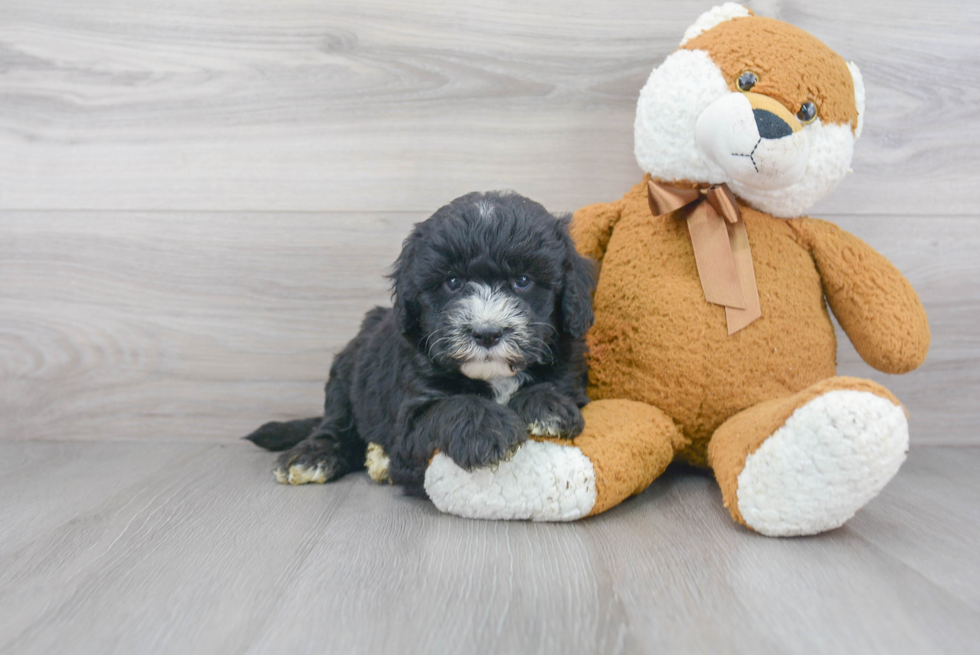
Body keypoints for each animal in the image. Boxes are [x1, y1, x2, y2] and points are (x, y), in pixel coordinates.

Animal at [249, 192, 592, 494]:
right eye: (453, 282)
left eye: (522, 281)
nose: (487, 332)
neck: (494, 377)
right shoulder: (408, 419)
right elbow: (447, 408)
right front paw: (486, 428)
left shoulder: (572, 375)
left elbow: (556, 390)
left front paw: (545, 405)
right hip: (346, 374)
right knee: (336, 425)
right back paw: (313, 457)